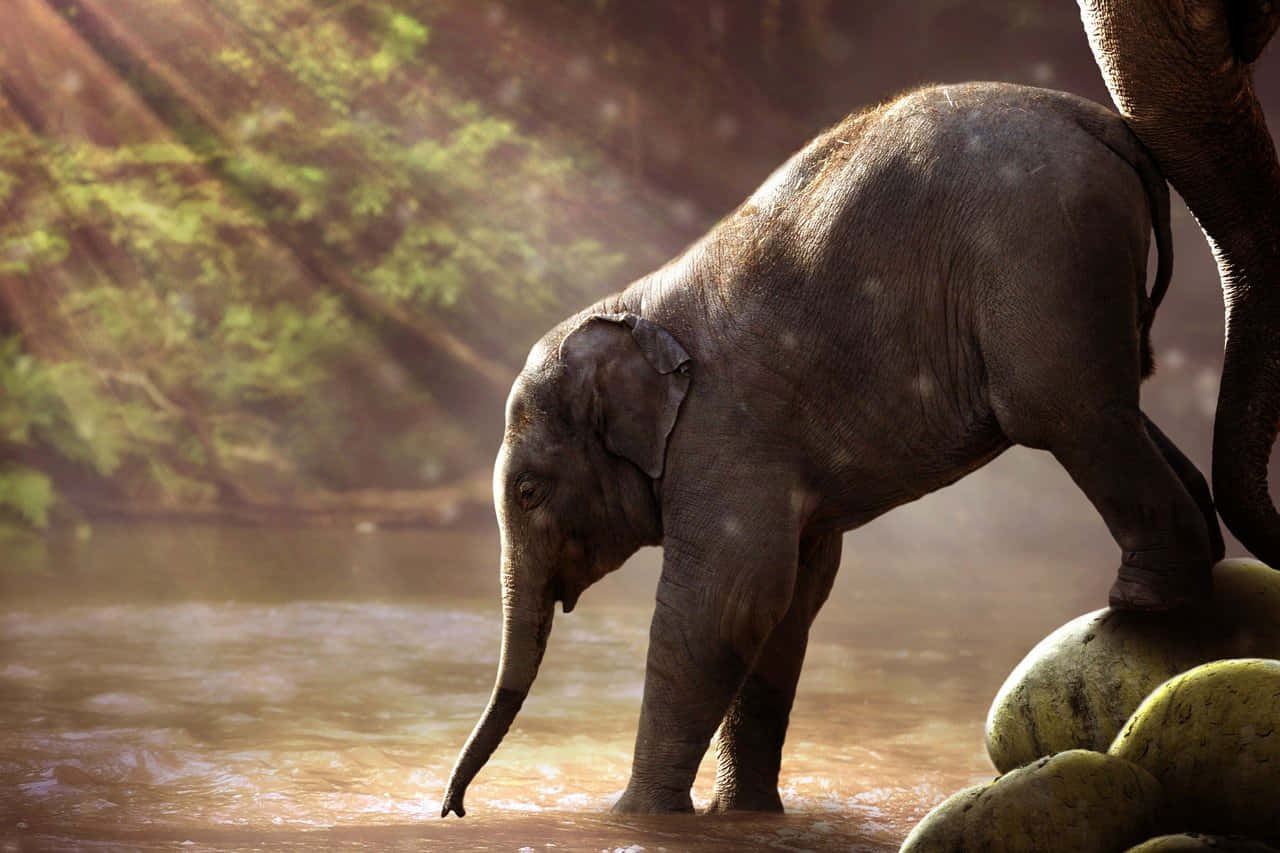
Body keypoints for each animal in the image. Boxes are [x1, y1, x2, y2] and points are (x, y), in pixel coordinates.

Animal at [441, 81, 1232, 818]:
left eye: (529, 492)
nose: (453, 807)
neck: (632, 309)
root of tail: (1100, 121)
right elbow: (791, 600)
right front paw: (743, 816)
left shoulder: (725, 435)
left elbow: (727, 600)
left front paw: (635, 817)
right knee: (1117, 404)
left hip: (1043, 255)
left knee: (1066, 412)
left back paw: (1144, 597)